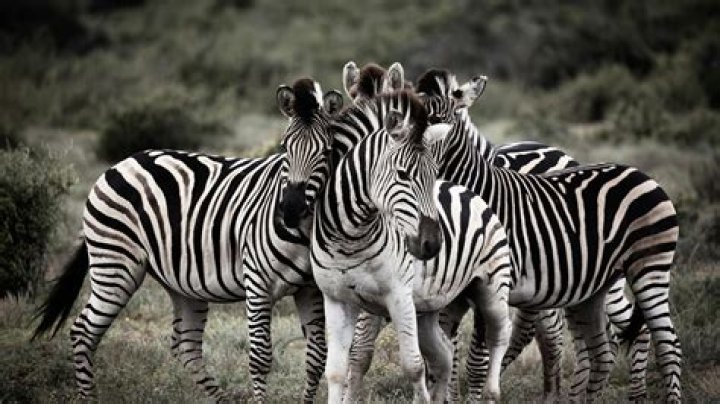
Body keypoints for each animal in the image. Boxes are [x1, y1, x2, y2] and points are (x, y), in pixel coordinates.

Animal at [32, 78, 343, 403]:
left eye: (326, 152)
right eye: (285, 148)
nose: (291, 209)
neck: (302, 233)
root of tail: (122, 162)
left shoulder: (309, 289)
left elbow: (317, 357)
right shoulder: (258, 283)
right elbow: (260, 357)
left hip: (182, 281)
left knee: (185, 346)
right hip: (115, 265)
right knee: (83, 331)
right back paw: (87, 396)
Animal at [310, 89, 515, 403]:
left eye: (434, 174)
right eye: (403, 174)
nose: (432, 244)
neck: (350, 239)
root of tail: (464, 188)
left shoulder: (398, 295)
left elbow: (414, 367)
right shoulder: (336, 299)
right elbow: (335, 370)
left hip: (492, 286)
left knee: (499, 334)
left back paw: (492, 393)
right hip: (428, 308)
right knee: (444, 355)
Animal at [331, 67, 680, 402]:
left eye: (437, 121)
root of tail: (639, 172)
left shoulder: (487, 285)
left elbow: (474, 359)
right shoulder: (443, 294)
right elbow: (437, 356)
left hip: (646, 269)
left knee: (662, 339)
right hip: (588, 285)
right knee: (598, 349)